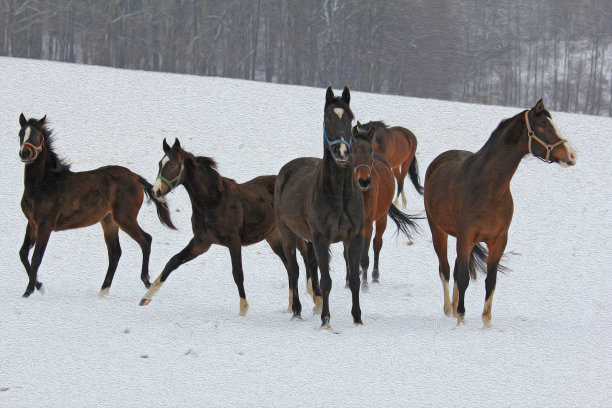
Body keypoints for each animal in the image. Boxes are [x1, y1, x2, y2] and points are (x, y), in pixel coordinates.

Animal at [17, 113, 176, 298]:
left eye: (37, 135)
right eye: (21, 133)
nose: (25, 153)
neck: (44, 184)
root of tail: (135, 177)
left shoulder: (45, 225)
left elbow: (36, 258)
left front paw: (29, 291)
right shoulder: (32, 224)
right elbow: (23, 253)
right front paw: (38, 285)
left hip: (124, 218)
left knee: (145, 240)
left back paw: (146, 281)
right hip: (109, 221)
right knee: (115, 252)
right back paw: (104, 289)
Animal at [139, 139, 320, 314]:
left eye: (172, 165)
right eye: (160, 164)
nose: (155, 191)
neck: (213, 201)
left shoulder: (233, 241)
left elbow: (237, 273)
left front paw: (243, 310)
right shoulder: (201, 242)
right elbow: (173, 261)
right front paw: (146, 297)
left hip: (292, 232)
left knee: (305, 254)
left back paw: (314, 297)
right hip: (274, 238)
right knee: (290, 264)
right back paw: (292, 306)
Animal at [272, 87, 364, 328]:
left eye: (350, 118)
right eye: (326, 119)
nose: (342, 152)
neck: (338, 195)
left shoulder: (354, 237)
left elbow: (354, 279)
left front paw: (357, 319)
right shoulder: (322, 238)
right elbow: (326, 280)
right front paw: (325, 320)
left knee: (309, 265)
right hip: (288, 233)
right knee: (293, 270)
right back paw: (297, 311)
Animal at [350, 122, 420, 286]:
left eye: (370, 151)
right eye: (353, 150)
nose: (364, 181)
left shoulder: (367, 225)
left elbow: (364, 257)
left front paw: (364, 285)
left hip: (382, 218)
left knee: (377, 244)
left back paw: (375, 277)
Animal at [424, 100, 576, 326]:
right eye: (544, 127)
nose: (572, 155)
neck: (487, 188)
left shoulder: (498, 241)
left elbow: (491, 280)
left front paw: (486, 323)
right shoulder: (466, 237)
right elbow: (463, 277)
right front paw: (461, 320)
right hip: (438, 231)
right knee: (446, 269)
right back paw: (450, 309)